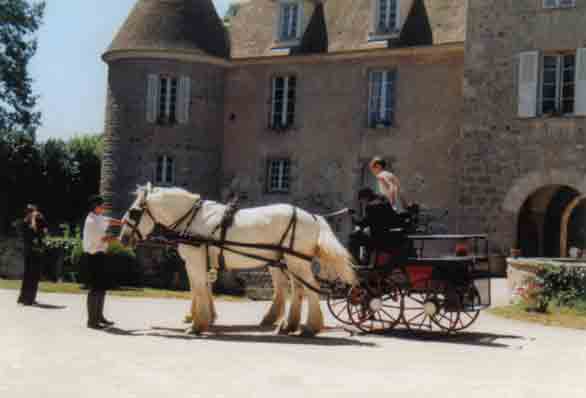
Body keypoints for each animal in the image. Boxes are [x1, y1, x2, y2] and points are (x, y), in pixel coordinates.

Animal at [120, 183, 356, 336]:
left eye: (133, 212)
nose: (122, 238)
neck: (192, 219)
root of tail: (313, 217)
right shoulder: (201, 262)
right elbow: (200, 288)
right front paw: (202, 319)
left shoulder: (195, 260)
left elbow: (198, 288)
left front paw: (197, 324)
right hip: (289, 262)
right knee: (295, 289)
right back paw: (288, 325)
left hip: (296, 262)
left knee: (309, 288)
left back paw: (309, 327)